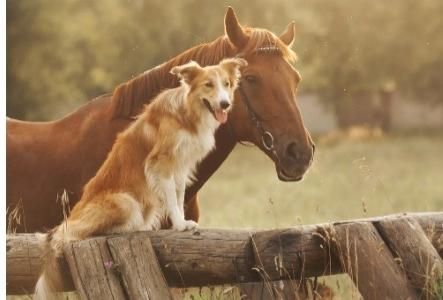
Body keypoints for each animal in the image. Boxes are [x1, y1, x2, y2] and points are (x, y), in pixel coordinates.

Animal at [35, 57, 248, 298]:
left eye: (227, 84)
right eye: (208, 85)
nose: (225, 104)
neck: (187, 113)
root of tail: (71, 217)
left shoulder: (181, 166)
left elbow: (179, 195)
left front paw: (182, 221)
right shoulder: (161, 162)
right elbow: (172, 198)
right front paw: (179, 225)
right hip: (125, 202)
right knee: (81, 232)